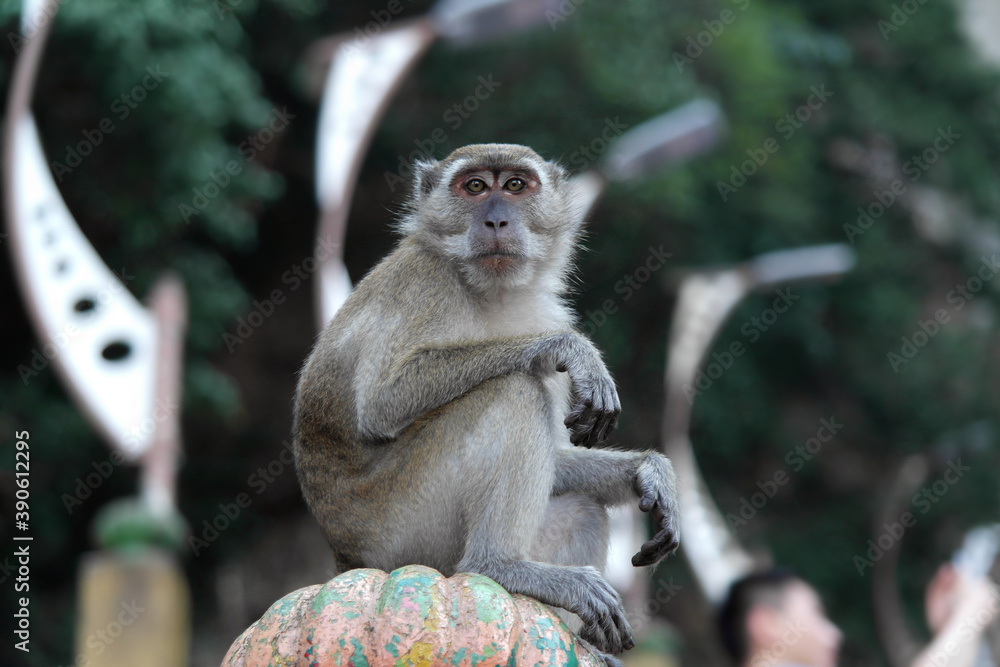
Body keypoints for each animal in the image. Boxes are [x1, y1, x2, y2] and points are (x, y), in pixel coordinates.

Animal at [292, 143, 679, 665]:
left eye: (515, 185)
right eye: (474, 186)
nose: (496, 220)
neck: (486, 289)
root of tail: (345, 557)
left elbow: (560, 458)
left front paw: (648, 471)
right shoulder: (424, 282)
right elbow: (382, 403)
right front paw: (569, 349)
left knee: (582, 506)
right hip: (400, 528)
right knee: (512, 390)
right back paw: (500, 567)